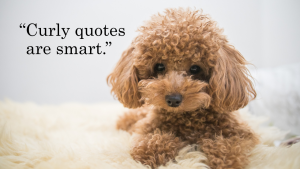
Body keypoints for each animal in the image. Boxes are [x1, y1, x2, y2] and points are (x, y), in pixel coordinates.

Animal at [107, 8, 258, 169]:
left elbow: (229, 144)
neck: (187, 118)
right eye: (159, 66)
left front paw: (226, 159)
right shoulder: (147, 128)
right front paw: (151, 150)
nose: (173, 100)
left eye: (195, 68)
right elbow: (152, 139)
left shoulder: (242, 133)